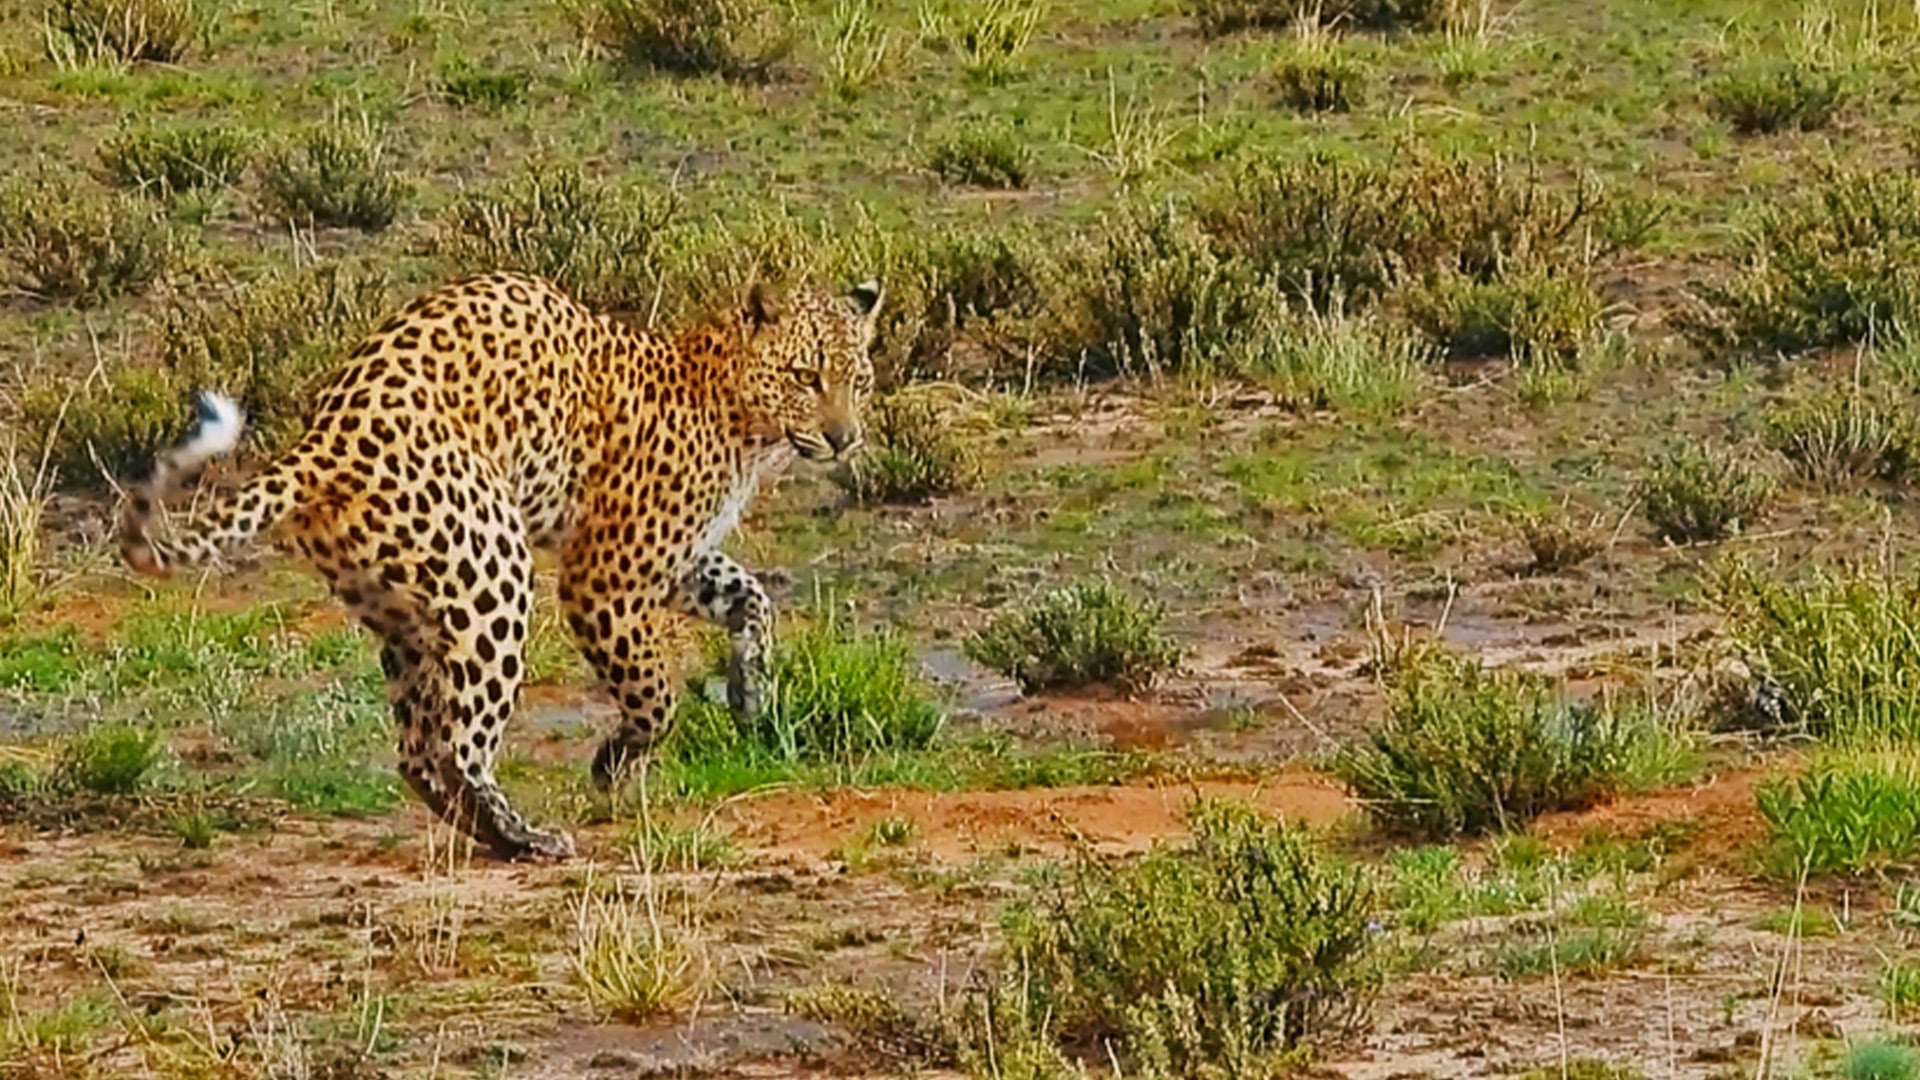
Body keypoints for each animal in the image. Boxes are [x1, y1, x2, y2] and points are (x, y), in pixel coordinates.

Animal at [120, 270, 884, 860]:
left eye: (859, 380)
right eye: (806, 376)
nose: (844, 438)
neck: (738, 416)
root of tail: (321, 443)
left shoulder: (678, 561)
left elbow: (752, 599)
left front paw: (750, 691)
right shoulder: (604, 574)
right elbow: (653, 693)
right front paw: (614, 763)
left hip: (409, 613)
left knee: (418, 749)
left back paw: (490, 832)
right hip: (495, 575)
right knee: (457, 746)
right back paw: (527, 838)